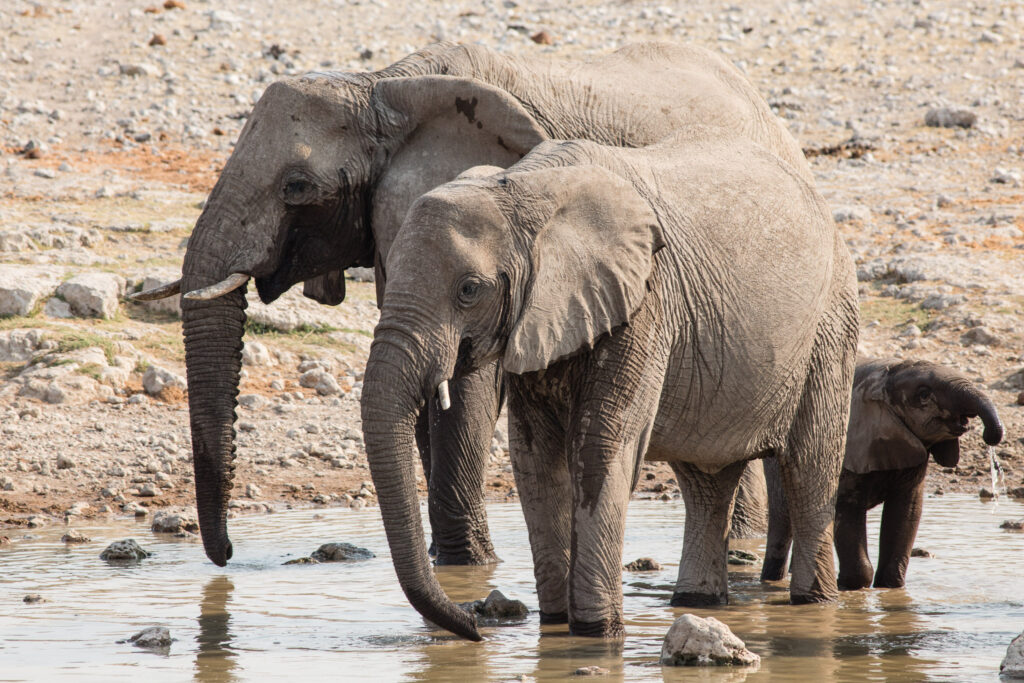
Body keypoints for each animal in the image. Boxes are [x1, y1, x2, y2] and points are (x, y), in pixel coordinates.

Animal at [132, 41, 811, 573]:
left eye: (296, 188)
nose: (225, 557)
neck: (385, 86)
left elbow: (466, 382)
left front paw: (467, 566)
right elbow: (429, 380)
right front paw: (451, 560)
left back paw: (741, 549)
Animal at [360, 126, 856, 643]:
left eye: (469, 290)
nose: (475, 624)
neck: (522, 189)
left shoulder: (644, 301)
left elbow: (600, 449)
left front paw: (595, 635)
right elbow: (534, 459)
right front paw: (555, 624)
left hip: (830, 326)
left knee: (810, 470)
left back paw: (813, 603)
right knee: (706, 481)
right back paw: (697, 602)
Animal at [835, 360, 1003, 589]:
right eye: (923, 394)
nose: (988, 434)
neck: (881, 372)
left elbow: (906, 510)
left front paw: (889, 587)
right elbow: (845, 507)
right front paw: (849, 587)